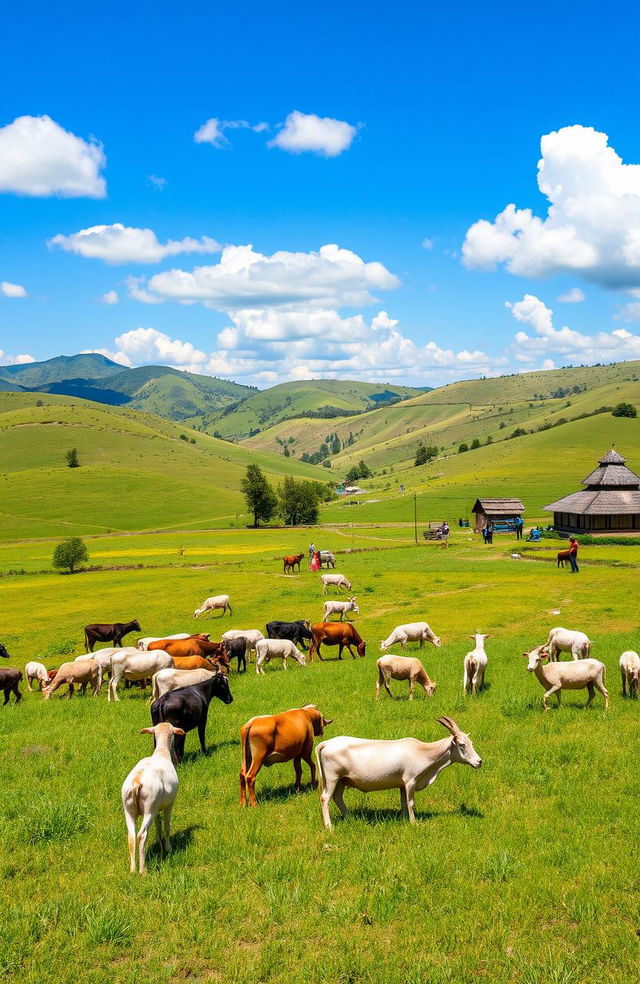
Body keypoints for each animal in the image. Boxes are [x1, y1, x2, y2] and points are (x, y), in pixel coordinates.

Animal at [121, 720, 184, 872]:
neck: (161, 752)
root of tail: (136, 782)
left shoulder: (157, 808)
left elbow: (158, 826)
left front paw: (159, 844)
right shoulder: (169, 804)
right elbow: (166, 826)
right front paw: (168, 848)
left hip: (129, 809)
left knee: (131, 837)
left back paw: (133, 870)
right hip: (148, 808)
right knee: (142, 835)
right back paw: (143, 871)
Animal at [316, 716, 480, 832]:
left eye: (471, 743)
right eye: (462, 745)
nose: (479, 761)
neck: (422, 751)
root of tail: (326, 743)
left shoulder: (402, 785)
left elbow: (403, 802)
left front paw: (403, 818)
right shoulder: (410, 781)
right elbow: (411, 802)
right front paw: (414, 823)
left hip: (341, 780)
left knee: (337, 798)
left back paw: (350, 817)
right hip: (332, 778)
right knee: (325, 798)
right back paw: (329, 826)